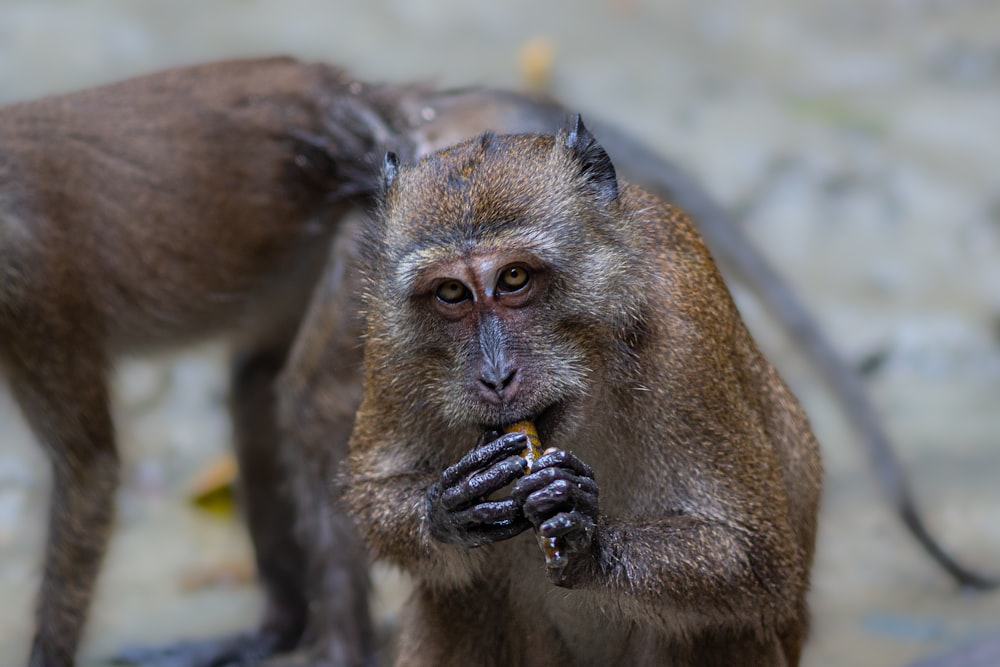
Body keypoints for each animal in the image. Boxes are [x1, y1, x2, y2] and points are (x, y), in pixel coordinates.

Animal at [340, 117, 824, 664]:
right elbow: (373, 491)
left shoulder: (687, 334)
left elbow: (756, 560)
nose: (496, 376)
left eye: (513, 277)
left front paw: (584, 534)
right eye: (451, 292)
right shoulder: (385, 337)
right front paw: (451, 508)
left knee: (719, 628)